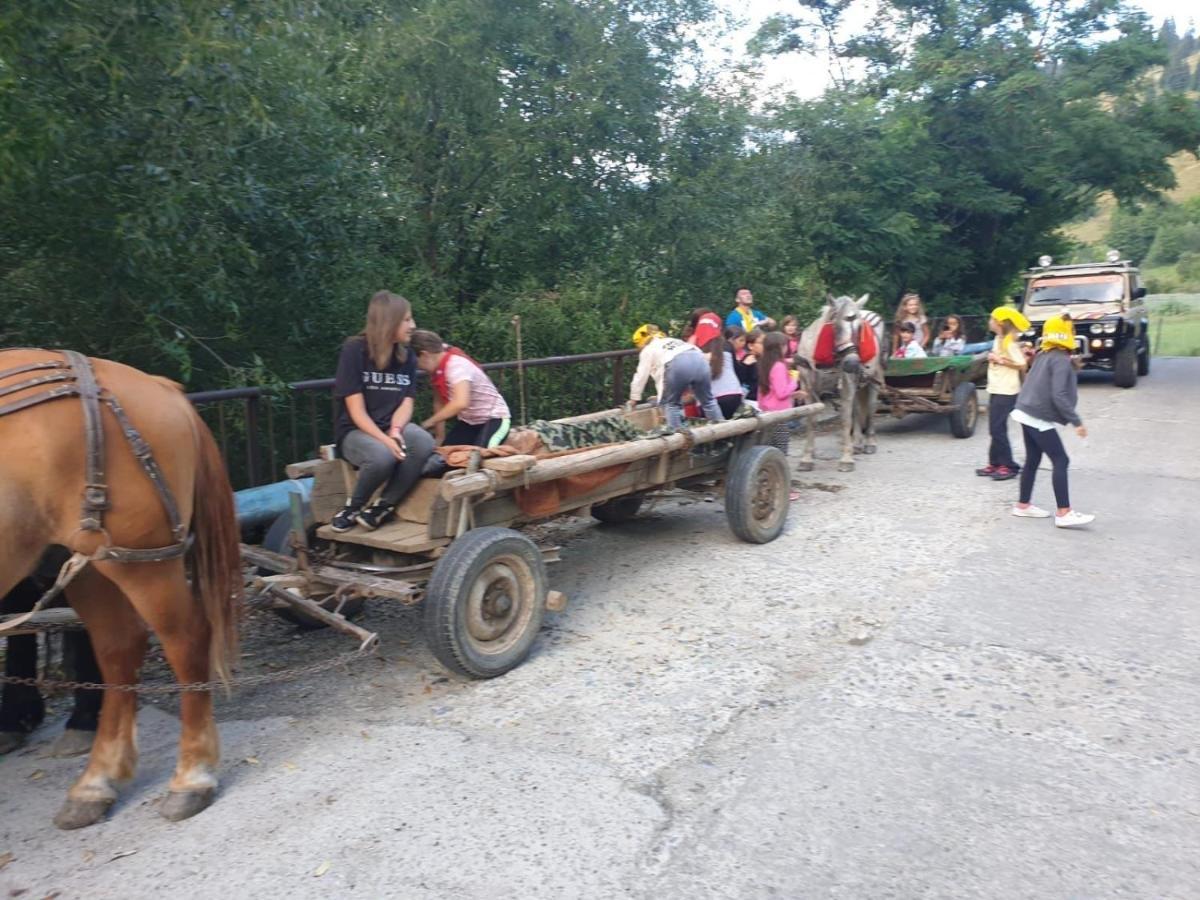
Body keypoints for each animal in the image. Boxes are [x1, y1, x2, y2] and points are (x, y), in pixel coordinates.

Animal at [0, 348, 241, 830]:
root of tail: (157, 385)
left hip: (140, 559)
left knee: (185, 638)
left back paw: (191, 777)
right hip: (90, 561)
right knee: (118, 646)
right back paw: (96, 783)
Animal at [792, 296, 888, 475]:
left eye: (860, 328)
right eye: (835, 327)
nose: (853, 363)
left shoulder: (847, 386)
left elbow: (845, 419)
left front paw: (846, 459)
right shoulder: (808, 388)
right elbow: (811, 420)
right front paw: (807, 458)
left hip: (874, 379)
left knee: (870, 408)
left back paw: (869, 442)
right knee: (857, 410)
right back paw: (856, 443)